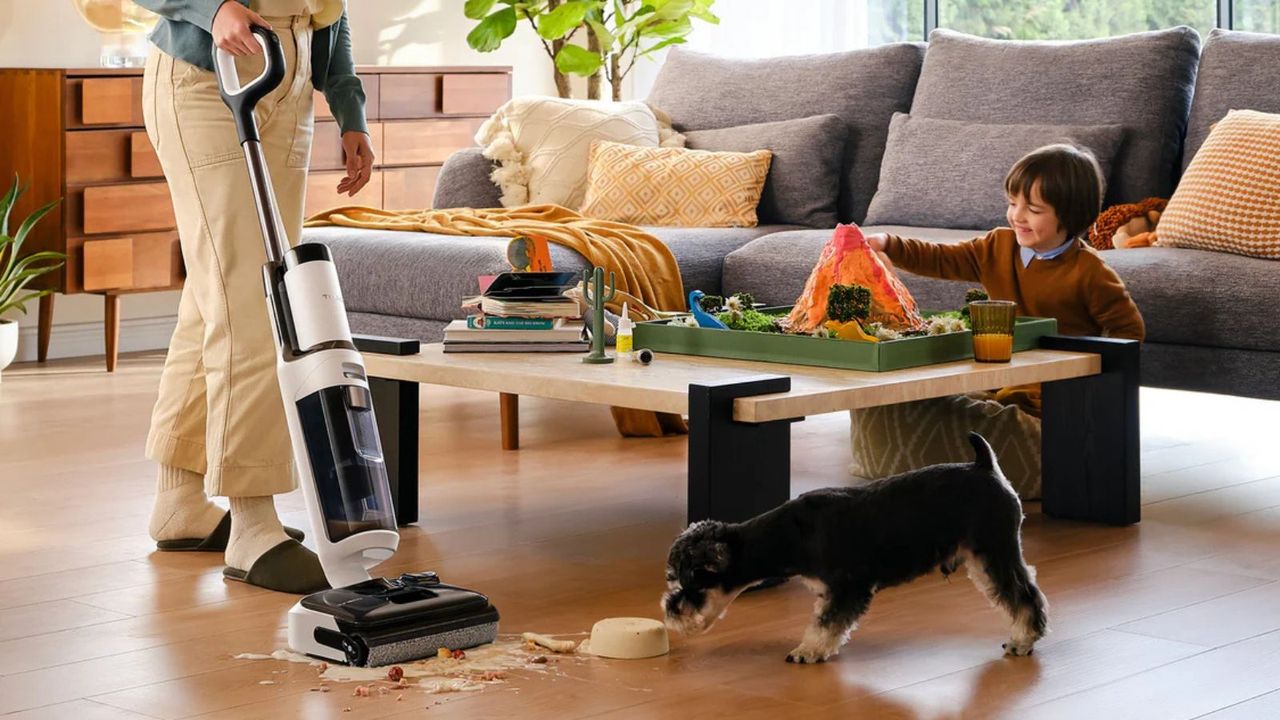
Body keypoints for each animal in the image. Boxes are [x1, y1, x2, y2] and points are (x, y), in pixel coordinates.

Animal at [665, 430, 1044, 661]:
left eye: (693, 583)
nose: (670, 614)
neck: (791, 534)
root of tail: (986, 467)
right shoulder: (830, 591)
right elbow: (824, 619)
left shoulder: (849, 589)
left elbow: (826, 623)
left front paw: (807, 651)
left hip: (993, 553)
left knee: (1025, 597)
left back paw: (1023, 640)